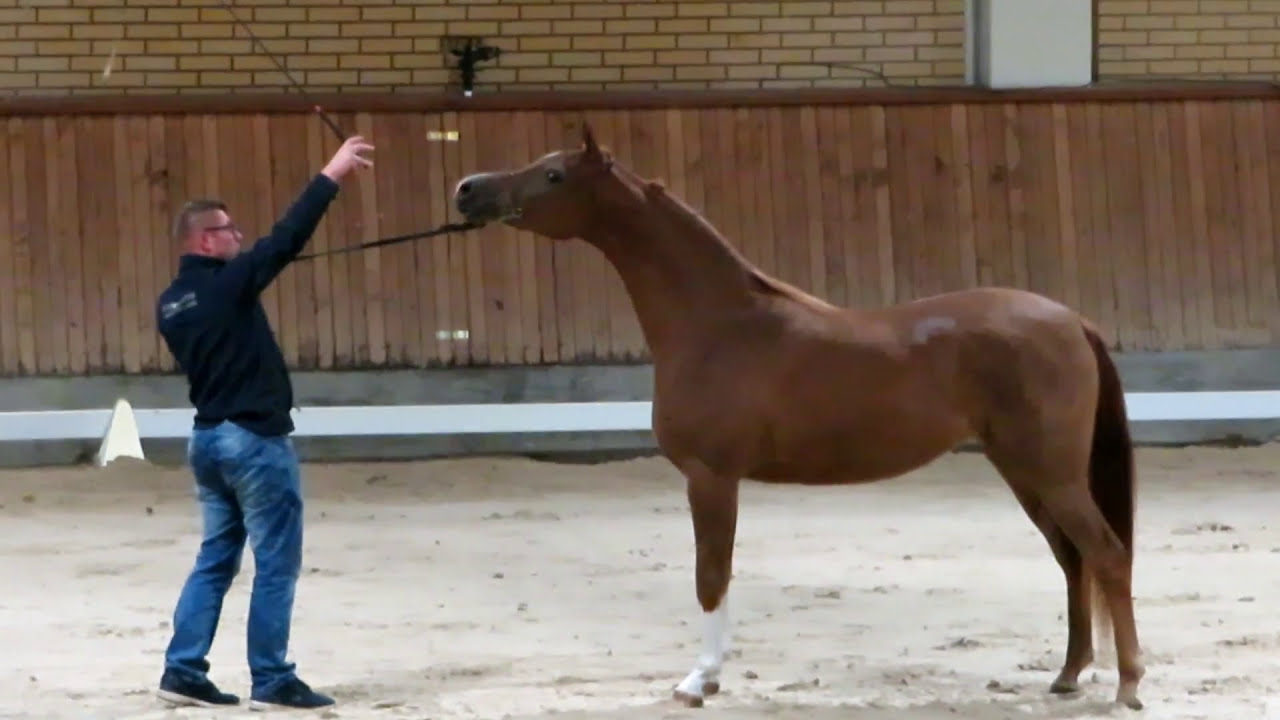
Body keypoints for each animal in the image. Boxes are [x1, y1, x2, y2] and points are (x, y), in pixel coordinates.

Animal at [450, 123, 1144, 711]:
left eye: (553, 175)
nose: (467, 190)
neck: (719, 324)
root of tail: (1070, 319)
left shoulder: (710, 477)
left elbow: (711, 576)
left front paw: (699, 681)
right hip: (1024, 471)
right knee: (1072, 559)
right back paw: (1068, 675)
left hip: (1051, 472)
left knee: (1106, 555)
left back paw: (1129, 685)